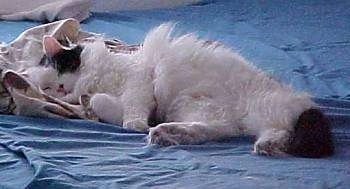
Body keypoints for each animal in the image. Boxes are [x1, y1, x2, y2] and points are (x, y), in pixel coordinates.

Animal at [25, 23, 334, 158]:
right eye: (49, 89)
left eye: (60, 69)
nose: (61, 89)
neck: (96, 79)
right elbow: (105, 105)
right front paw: (94, 105)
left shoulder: (139, 82)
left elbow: (131, 110)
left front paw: (134, 124)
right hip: (198, 109)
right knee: (219, 130)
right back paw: (165, 134)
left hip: (261, 107)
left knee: (278, 131)